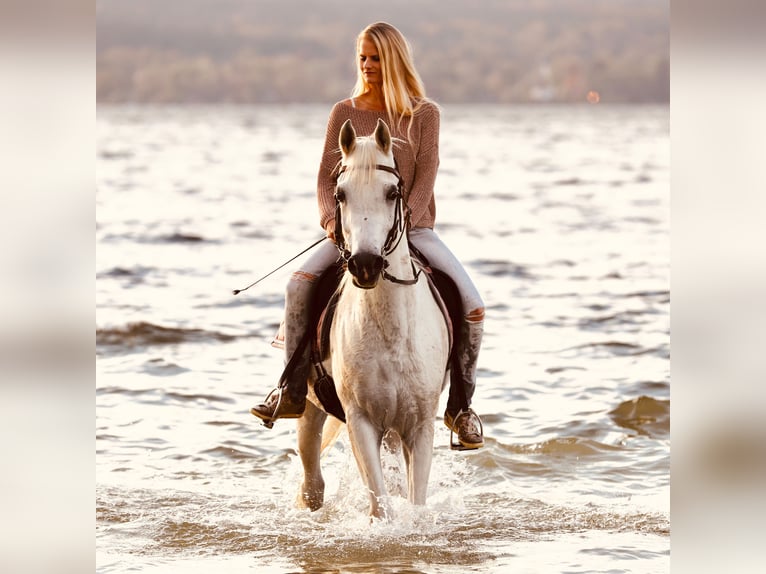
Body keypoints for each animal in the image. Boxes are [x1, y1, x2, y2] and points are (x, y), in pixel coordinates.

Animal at [295, 118, 451, 519]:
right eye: (341, 194)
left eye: (392, 192)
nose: (365, 265)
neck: (391, 332)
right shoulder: (361, 422)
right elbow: (381, 506)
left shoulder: (420, 425)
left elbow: (414, 501)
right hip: (311, 408)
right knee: (312, 483)